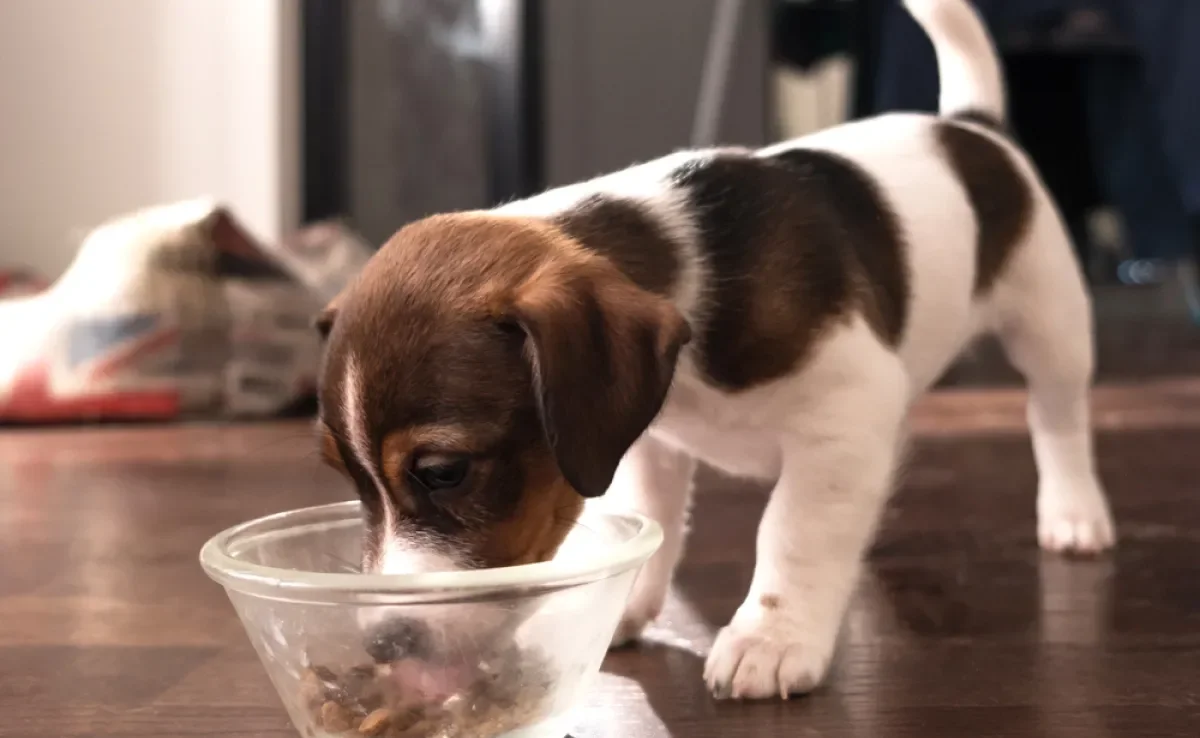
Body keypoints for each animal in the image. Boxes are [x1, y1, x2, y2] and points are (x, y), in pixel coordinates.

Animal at [312, 0, 1113, 700]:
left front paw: (773, 637)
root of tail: (969, 128)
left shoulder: (841, 418)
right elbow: (655, 524)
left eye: (444, 472)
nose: (384, 645)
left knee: (1058, 417)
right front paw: (626, 604)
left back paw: (1074, 512)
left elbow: (791, 531)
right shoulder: (649, 444)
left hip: (1050, 322)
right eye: (345, 474)